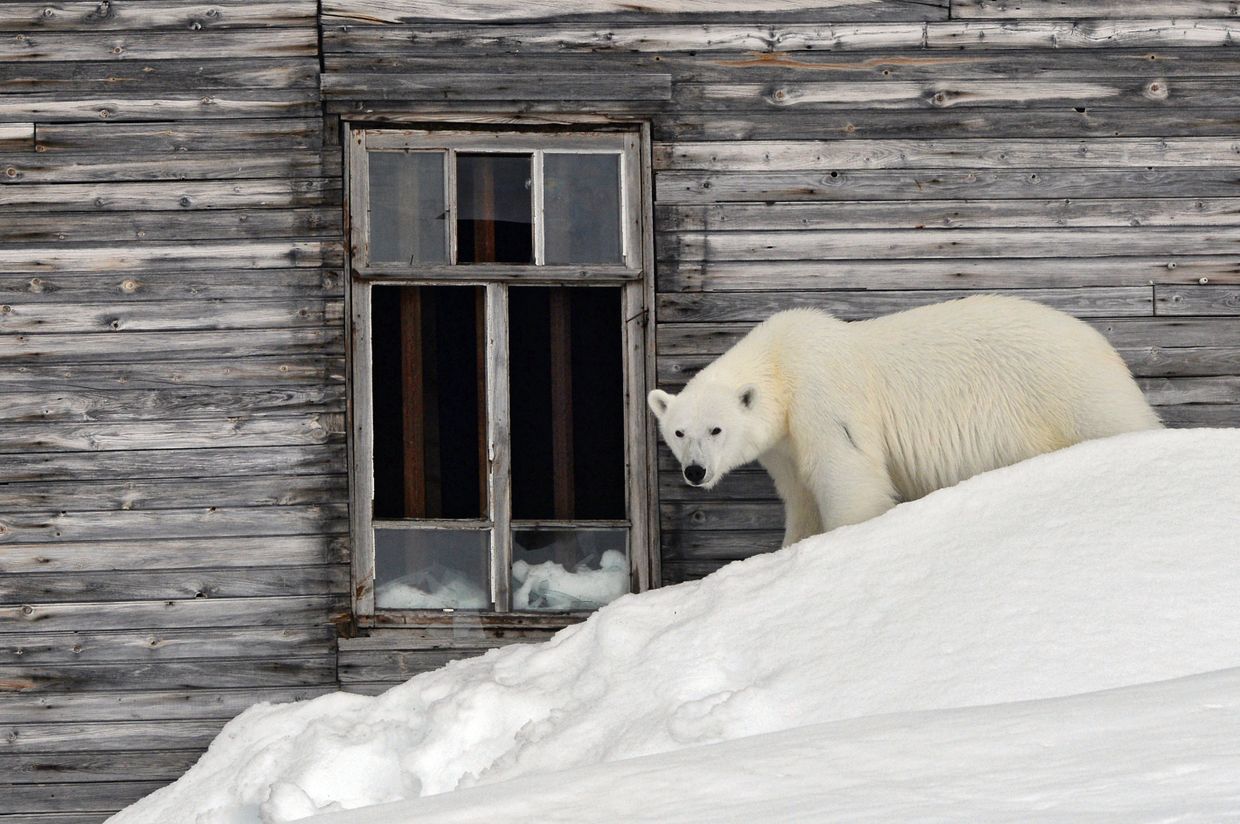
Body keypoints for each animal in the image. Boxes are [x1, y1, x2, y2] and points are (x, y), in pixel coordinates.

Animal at [648, 295, 1162, 547]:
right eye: (679, 432)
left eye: (716, 429)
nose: (695, 471)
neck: (779, 362)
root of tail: (1102, 346)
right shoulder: (784, 445)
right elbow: (801, 495)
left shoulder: (822, 398)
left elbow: (847, 475)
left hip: (1068, 391)